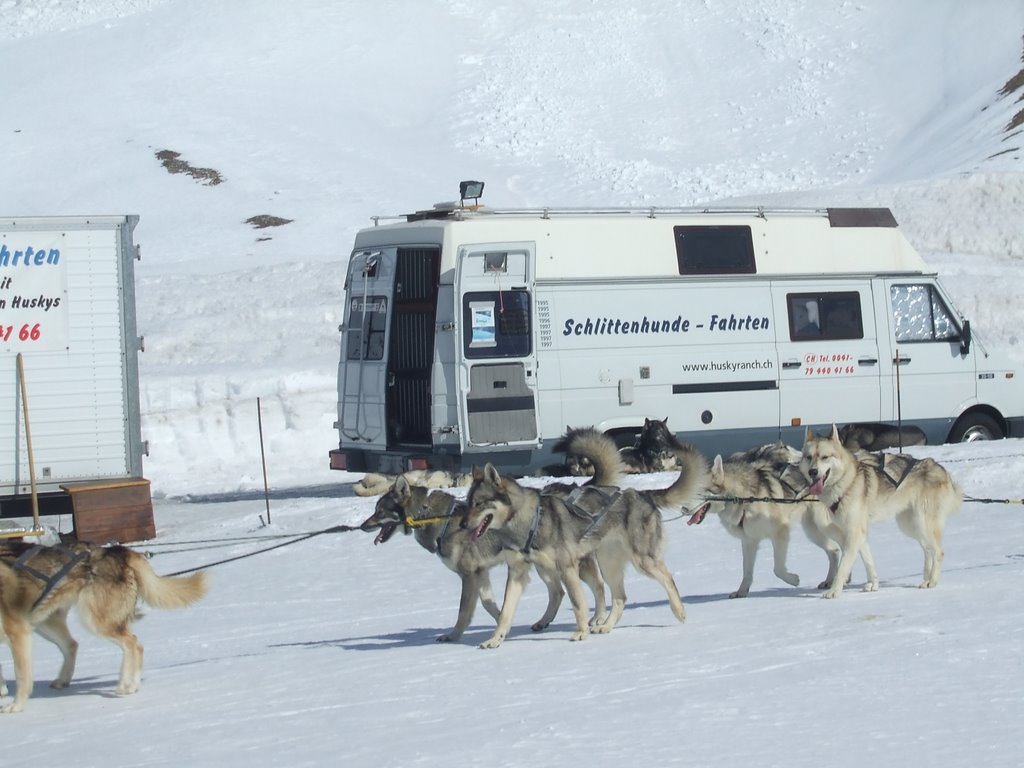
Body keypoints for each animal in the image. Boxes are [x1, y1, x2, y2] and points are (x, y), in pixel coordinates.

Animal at [0, 540, 207, 716]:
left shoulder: (18, 633)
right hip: (46, 623)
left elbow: (21, 676)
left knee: (133, 644)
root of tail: (117, 551)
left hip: (94, 620)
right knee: (72, 644)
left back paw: (128, 685)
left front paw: (16, 705)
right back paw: (67, 680)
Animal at [358, 481, 602, 643]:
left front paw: (454, 635)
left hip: (568, 566)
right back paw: (544, 621)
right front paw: (501, 624)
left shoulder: (469, 575)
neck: (437, 519)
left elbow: (463, 611)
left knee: (596, 586)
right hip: (542, 566)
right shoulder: (480, 573)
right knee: (558, 592)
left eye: (380, 511)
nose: (361, 526)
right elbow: (490, 604)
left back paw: (596, 620)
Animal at [464, 430, 704, 647]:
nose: (462, 525)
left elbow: (577, 603)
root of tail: (642, 494)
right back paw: (605, 626)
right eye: (468, 503)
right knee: (619, 598)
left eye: (479, 503)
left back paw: (679, 611)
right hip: (605, 565)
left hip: (642, 560)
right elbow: (505, 612)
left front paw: (581, 633)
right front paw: (495, 639)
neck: (529, 520)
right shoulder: (517, 573)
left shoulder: (567, 568)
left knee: (667, 577)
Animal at [688, 442, 839, 598]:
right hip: (813, 531)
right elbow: (747, 571)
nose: (682, 508)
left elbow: (778, 569)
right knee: (834, 550)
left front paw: (794, 580)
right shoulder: (749, 541)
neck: (743, 500)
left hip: (823, 524)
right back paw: (830, 581)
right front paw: (742, 591)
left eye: (699, 493)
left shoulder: (780, 534)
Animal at [798, 423, 958, 598]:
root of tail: (940, 468)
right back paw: (926, 577)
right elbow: (868, 560)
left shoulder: (853, 533)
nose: (813, 471)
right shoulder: (858, 534)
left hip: (922, 523)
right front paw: (873, 584)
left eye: (825, 457)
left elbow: (843, 566)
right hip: (910, 525)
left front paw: (834, 591)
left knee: (938, 552)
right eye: (808, 457)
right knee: (928, 549)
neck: (847, 482)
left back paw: (932, 581)